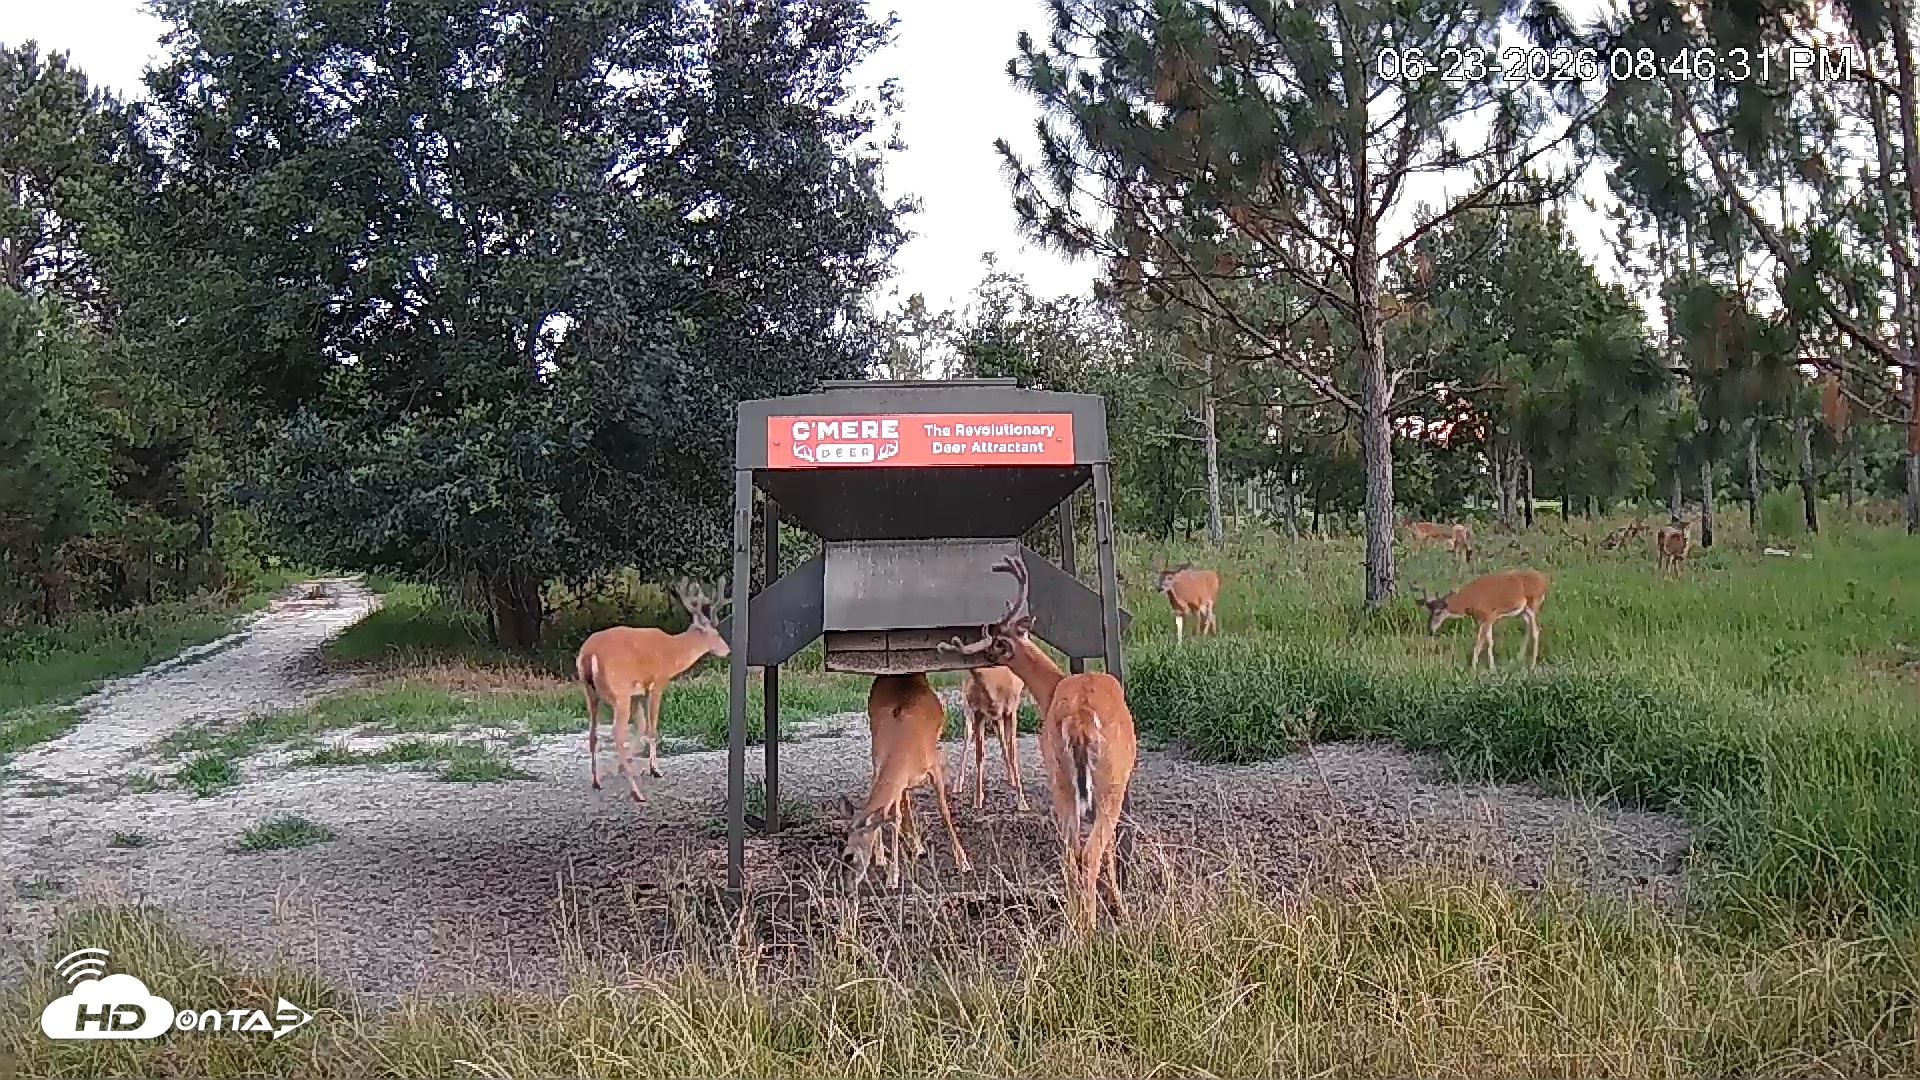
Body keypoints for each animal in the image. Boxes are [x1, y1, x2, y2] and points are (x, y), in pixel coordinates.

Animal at [574, 579, 731, 802]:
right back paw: (636, 792)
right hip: (619, 691)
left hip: (590, 692)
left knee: (593, 732)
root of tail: (589, 654)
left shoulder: (638, 693)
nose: (728, 650)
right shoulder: (657, 683)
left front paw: (624, 765)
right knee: (616, 732)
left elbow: (640, 725)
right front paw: (655, 769)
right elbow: (651, 728)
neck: (672, 653)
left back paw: (597, 781)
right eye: (716, 634)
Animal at [843, 673, 973, 889]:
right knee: (904, 804)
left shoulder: (934, 766)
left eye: (849, 856)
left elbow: (944, 812)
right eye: (844, 852)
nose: (848, 887)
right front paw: (888, 868)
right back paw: (915, 846)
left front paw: (963, 862)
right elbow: (893, 816)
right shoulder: (881, 768)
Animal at [954, 665, 1029, 812]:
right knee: (968, 736)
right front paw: (978, 801)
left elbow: (1013, 754)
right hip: (968, 707)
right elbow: (979, 756)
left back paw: (1011, 779)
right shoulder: (977, 712)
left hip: (996, 717)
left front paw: (1023, 803)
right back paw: (957, 786)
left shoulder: (1011, 711)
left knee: (1002, 739)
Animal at [1413, 568, 1550, 672]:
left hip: (1533, 604)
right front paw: (1492, 668)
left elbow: (1479, 643)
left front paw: (1473, 668)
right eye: (1429, 611)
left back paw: (1532, 665)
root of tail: (1544, 580)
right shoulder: (1484, 620)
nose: (1430, 629)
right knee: (1529, 630)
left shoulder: (1488, 616)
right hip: (1523, 611)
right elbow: (1490, 642)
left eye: (1438, 612)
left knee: (1536, 631)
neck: (1470, 600)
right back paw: (1518, 658)